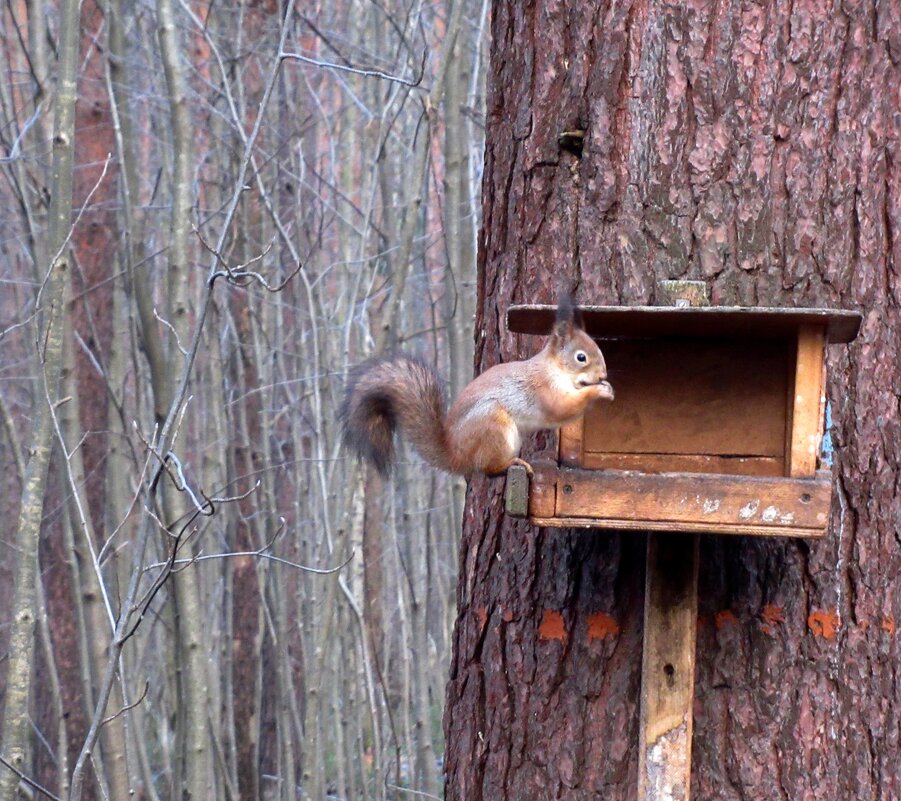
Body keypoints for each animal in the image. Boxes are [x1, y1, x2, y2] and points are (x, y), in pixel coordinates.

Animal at [342, 296, 616, 478]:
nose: (603, 374)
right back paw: (513, 464)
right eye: (581, 357)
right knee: (488, 468)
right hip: (493, 425)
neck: (556, 370)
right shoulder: (545, 390)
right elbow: (563, 408)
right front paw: (600, 391)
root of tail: (457, 454)